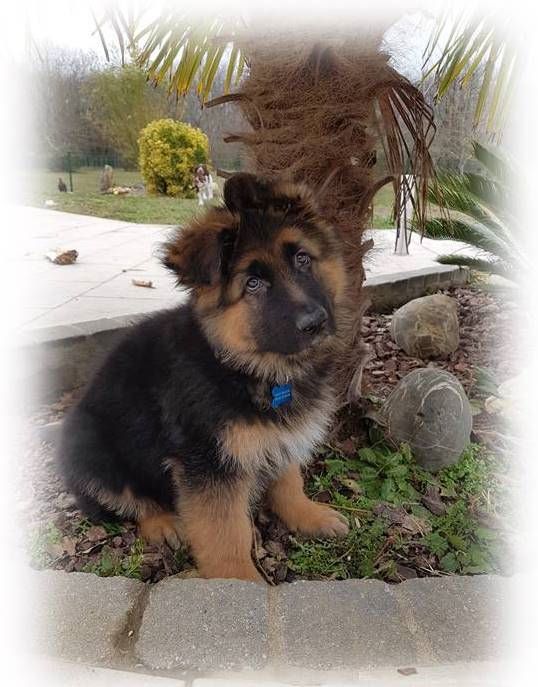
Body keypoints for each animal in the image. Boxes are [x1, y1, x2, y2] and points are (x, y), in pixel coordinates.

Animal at [57, 172, 348, 580]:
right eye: (253, 284)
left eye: (303, 259)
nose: (316, 323)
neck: (238, 365)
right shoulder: (208, 462)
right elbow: (224, 530)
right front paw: (238, 581)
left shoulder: (282, 434)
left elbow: (289, 479)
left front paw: (308, 515)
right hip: (90, 448)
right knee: (127, 500)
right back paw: (162, 523)